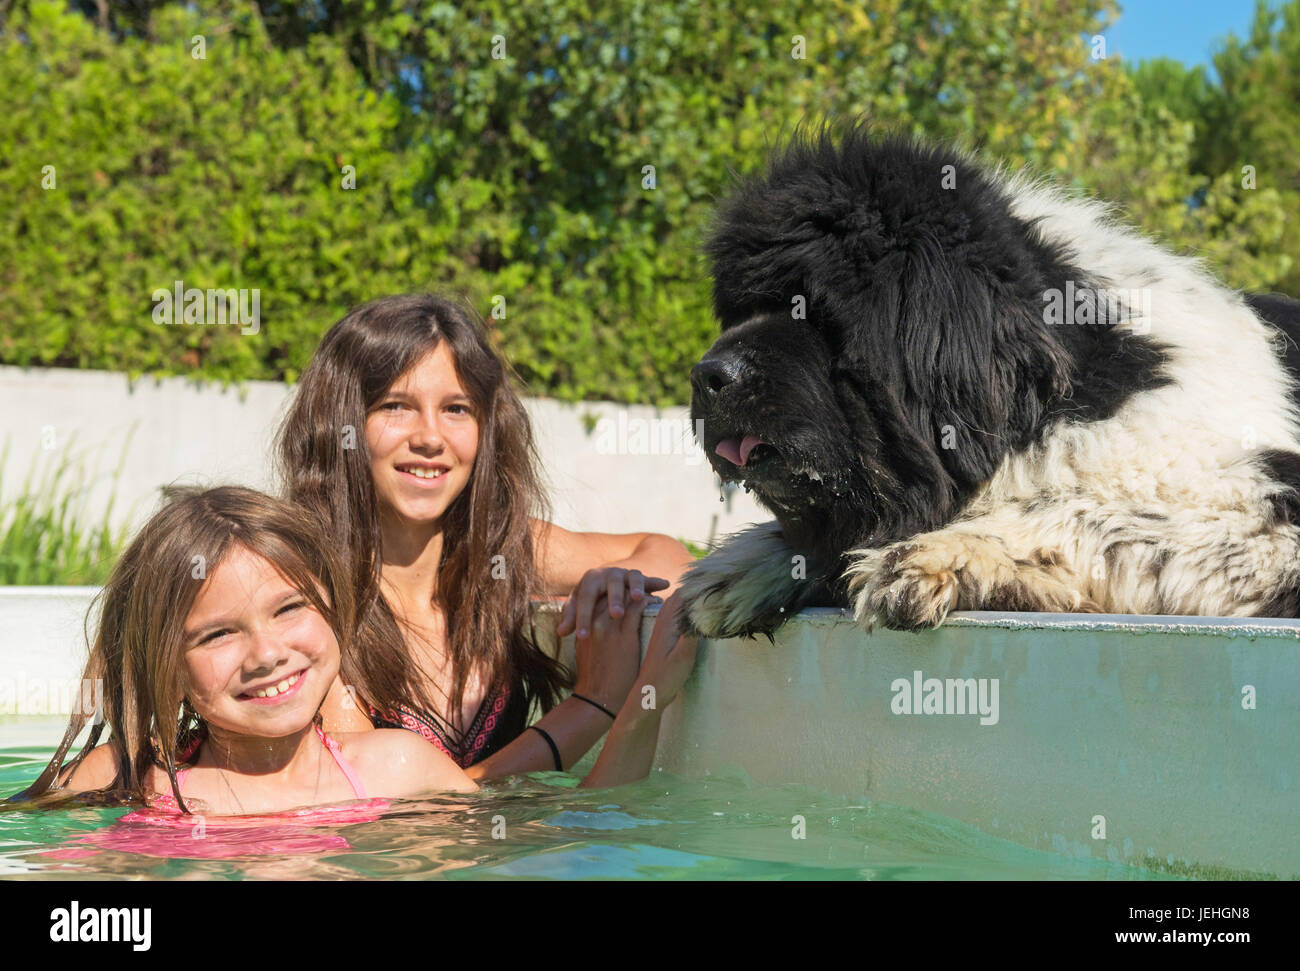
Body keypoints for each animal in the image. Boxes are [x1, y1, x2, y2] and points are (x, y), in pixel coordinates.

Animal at [676, 123, 1300, 636]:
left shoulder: (1271, 513)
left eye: (814, 310)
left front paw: (940, 551)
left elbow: (1078, 509)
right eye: (740, 312)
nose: (706, 376)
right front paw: (743, 566)